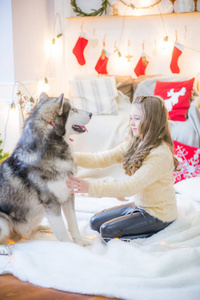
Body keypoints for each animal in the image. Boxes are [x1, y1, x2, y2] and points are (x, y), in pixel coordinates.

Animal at [0, 92, 92, 254]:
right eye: (73, 109)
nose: (91, 114)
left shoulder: (68, 195)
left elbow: (73, 223)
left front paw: (80, 241)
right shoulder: (51, 202)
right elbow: (62, 230)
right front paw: (72, 248)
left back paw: (43, 227)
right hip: (3, 221)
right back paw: (4, 248)